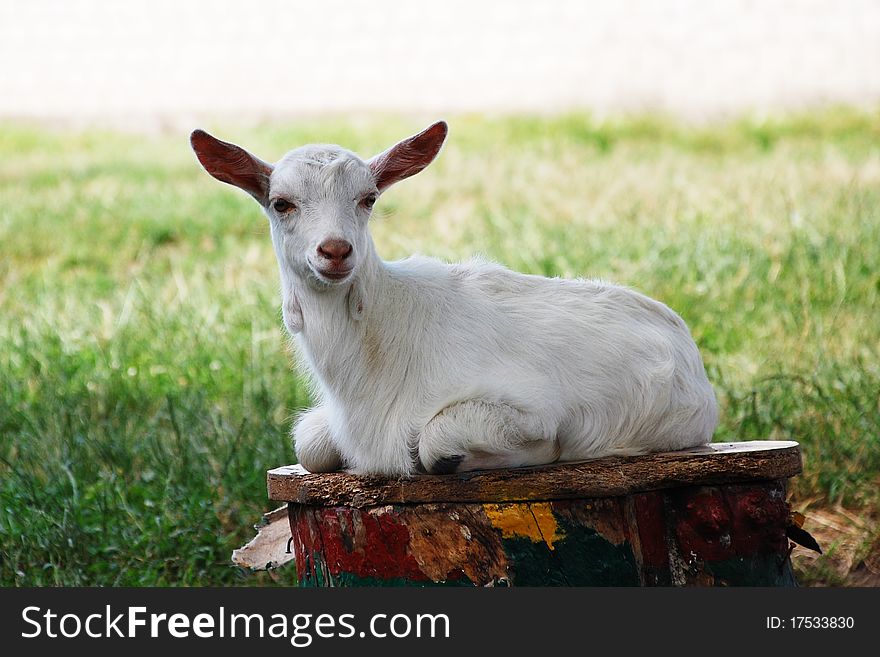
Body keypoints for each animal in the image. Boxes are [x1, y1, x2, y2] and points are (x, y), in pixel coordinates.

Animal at [189, 120, 720, 474]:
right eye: (281, 204)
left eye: (368, 199)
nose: (336, 250)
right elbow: (310, 445)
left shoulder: (533, 408)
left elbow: (435, 444)